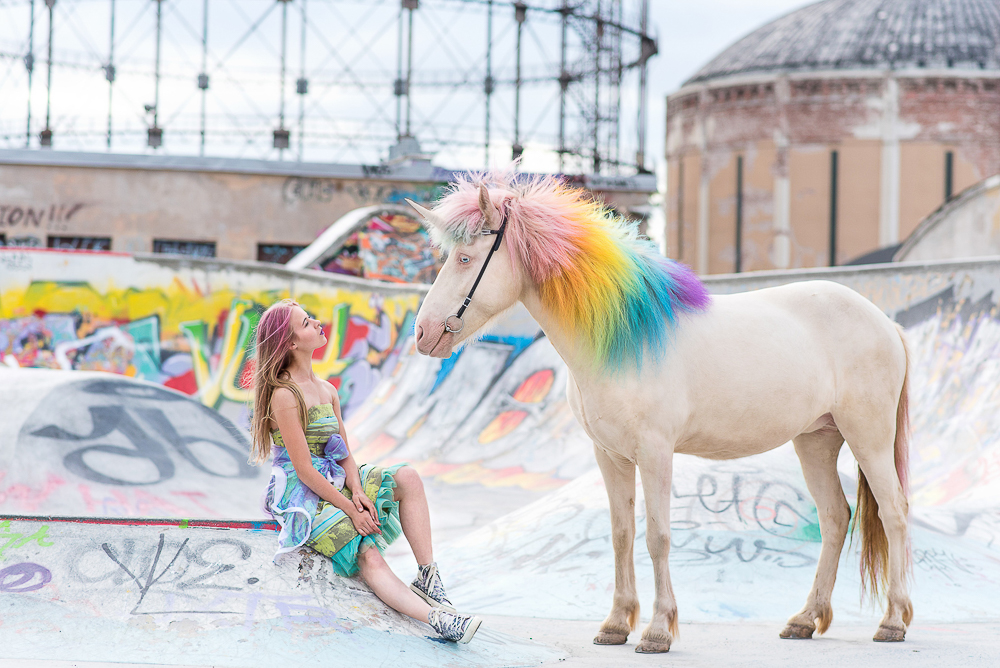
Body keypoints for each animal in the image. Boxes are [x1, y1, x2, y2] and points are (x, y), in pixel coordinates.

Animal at [406, 174, 916, 652]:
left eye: (465, 258)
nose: (423, 333)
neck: (619, 336)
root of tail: (885, 322)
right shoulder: (610, 457)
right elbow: (621, 534)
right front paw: (616, 624)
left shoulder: (655, 454)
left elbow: (657, 537)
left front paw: (656, 630)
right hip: (816, 440)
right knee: (835, 518)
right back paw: (806, 619)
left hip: (867, 437)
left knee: (893, 512)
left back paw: (892, 621)